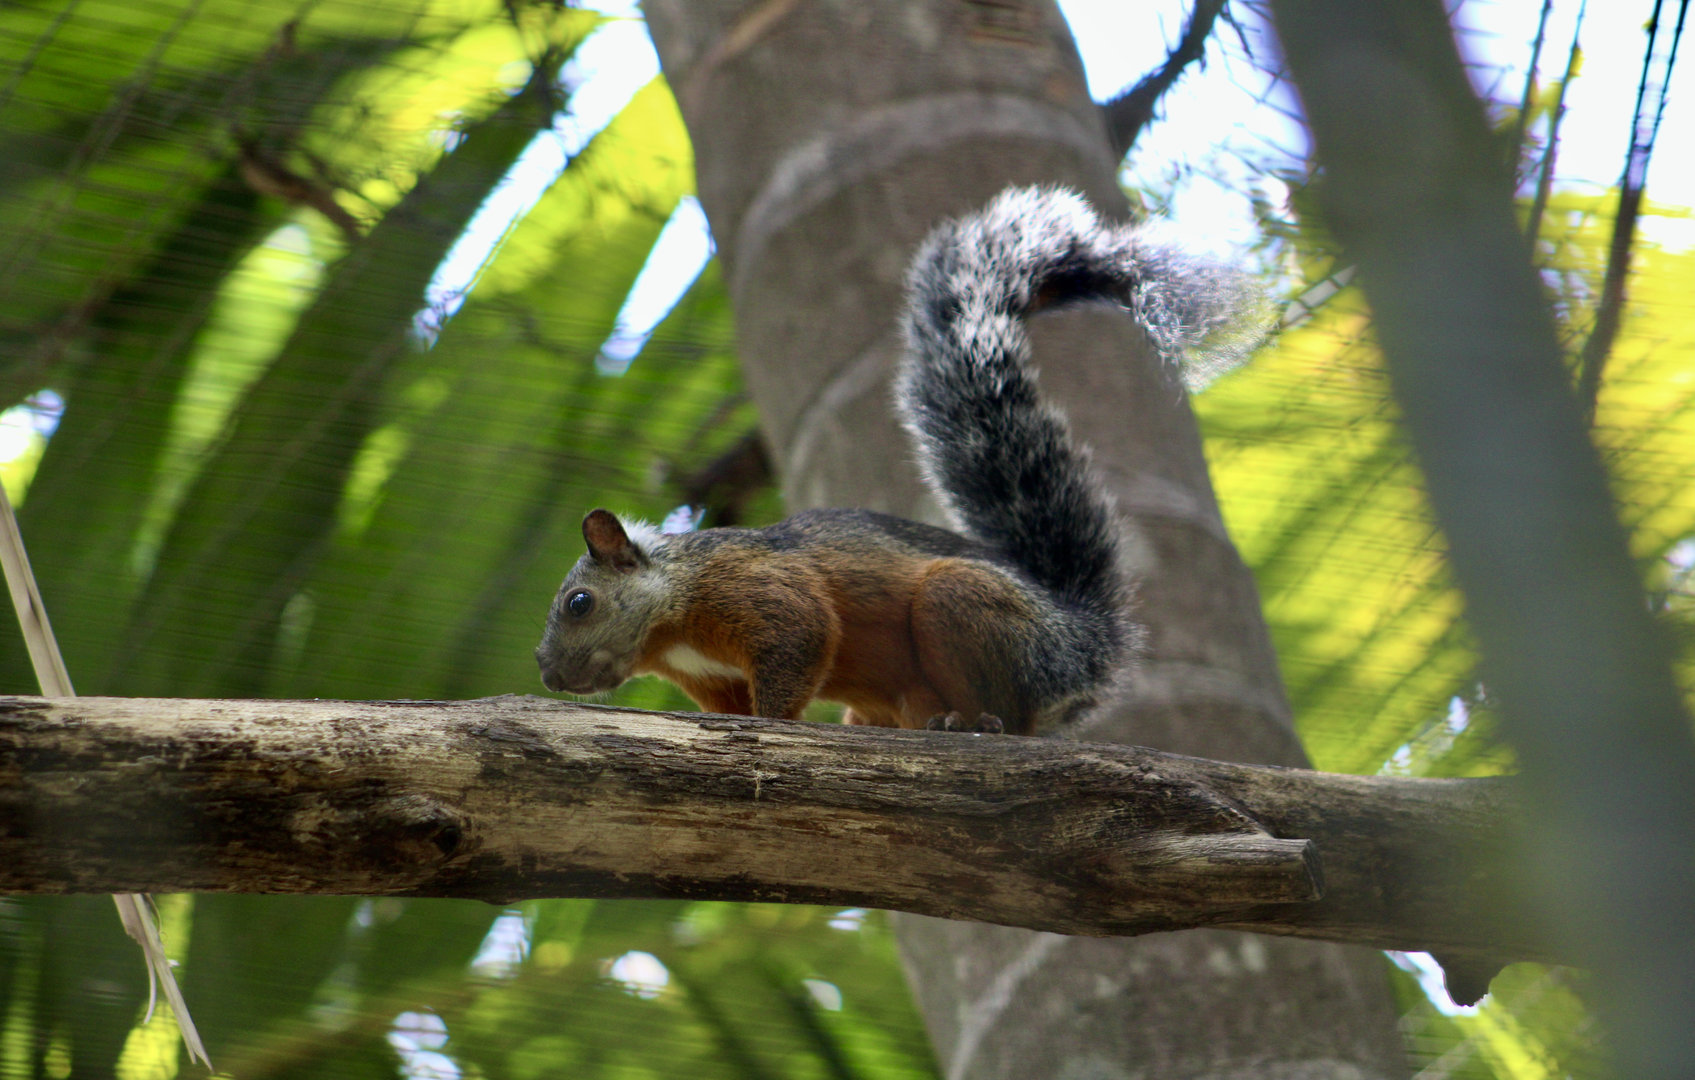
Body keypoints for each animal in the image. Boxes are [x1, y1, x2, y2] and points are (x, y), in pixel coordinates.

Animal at [536, 186, 1248, 735]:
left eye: (579, 603)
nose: (546, 671)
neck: (671, 622)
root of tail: (1085, 639)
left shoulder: (756, 589)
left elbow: (802, 638)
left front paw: (772, 724)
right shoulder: (715, 680)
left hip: (969, 609)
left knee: (1012, 715)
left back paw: (972, 722)